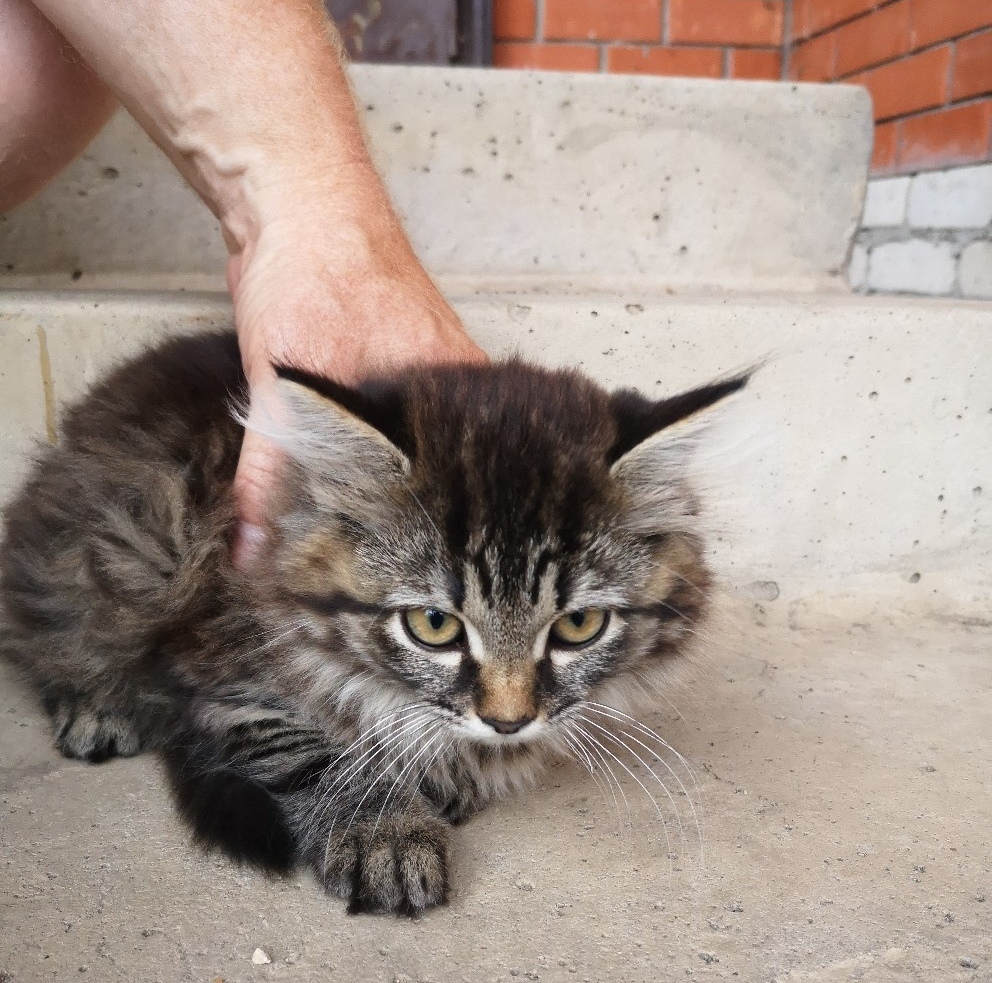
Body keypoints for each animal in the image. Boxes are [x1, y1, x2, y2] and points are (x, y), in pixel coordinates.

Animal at [0, 330, 744, 916]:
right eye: (434, 625)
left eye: (578, 626)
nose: (508, 721)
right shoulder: (226, 664)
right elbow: (321, 753)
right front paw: (385, 833)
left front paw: (453, 772)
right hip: (126, 545)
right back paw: (98, 706)